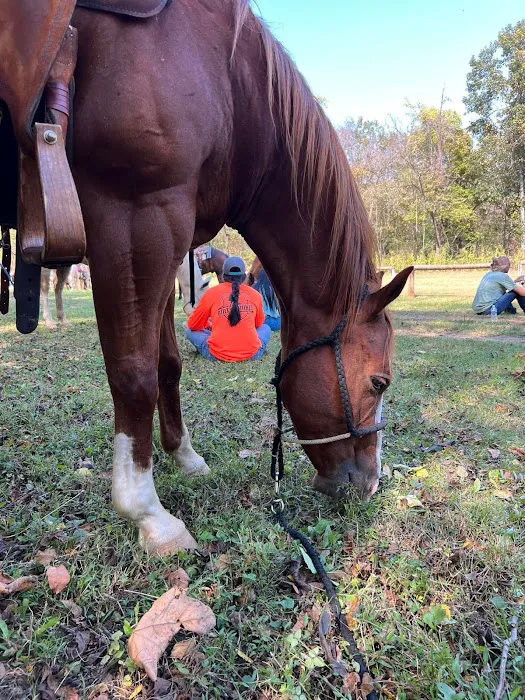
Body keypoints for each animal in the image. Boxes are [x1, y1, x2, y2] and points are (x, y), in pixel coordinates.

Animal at [3, 0, 412, 556]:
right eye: (379, 382)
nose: (369, 483)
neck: (229, 84)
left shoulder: (168, 246)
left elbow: (168, 364)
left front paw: (183, 454)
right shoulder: (136, 220)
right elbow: (134, 375)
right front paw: (146, 512)